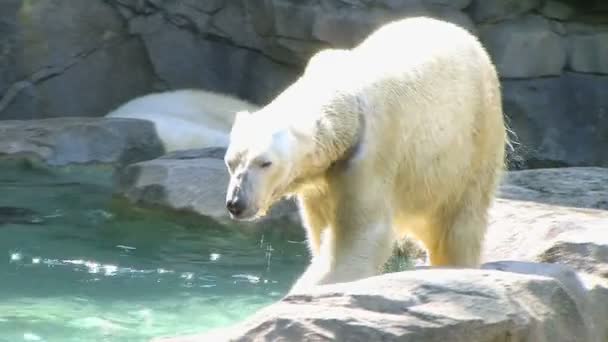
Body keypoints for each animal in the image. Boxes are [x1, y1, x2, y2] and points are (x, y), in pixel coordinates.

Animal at [223, 16, 508, 292]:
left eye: (265, 163)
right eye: (230, 162)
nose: (236, 203)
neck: (347, 100)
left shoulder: (371, 154)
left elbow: (362, 236)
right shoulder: (323, 176)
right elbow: (320, 228)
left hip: (472, 142)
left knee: (459, 224)